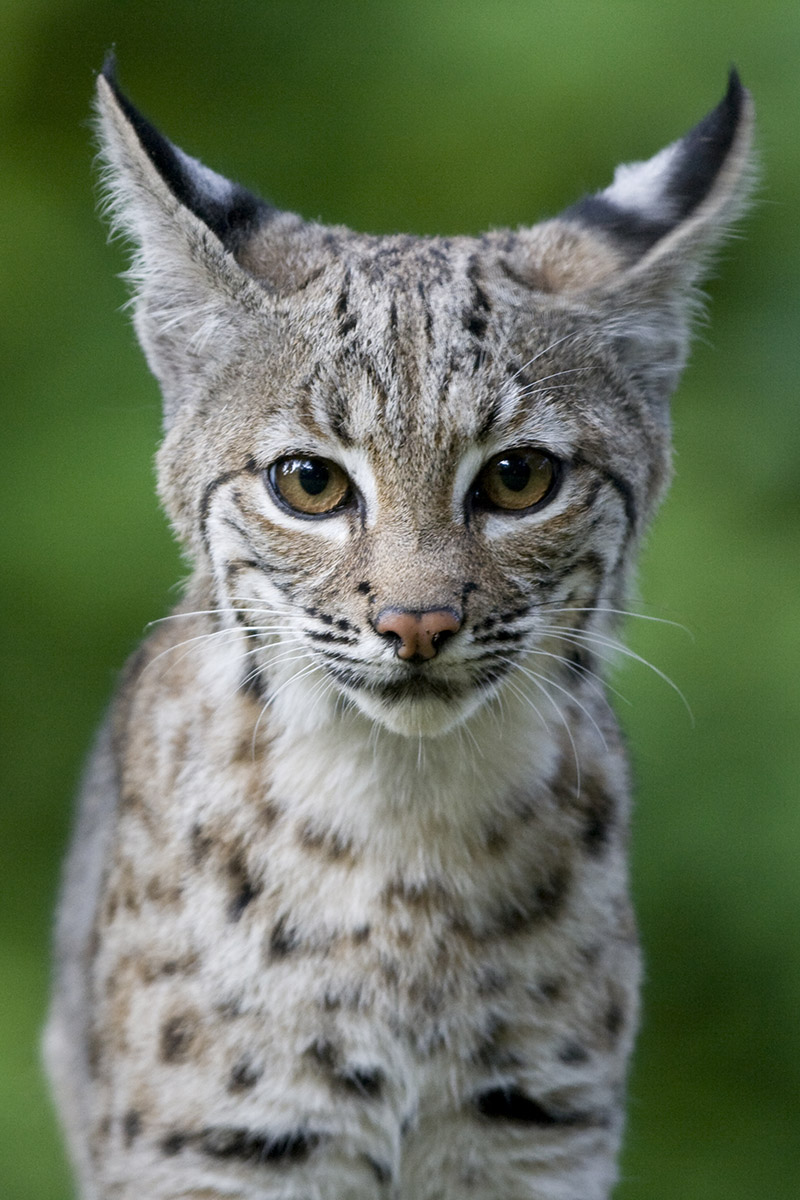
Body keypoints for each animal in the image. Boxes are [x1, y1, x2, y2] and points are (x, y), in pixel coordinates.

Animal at [47, 58, 753, 1200]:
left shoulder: (535, 1144)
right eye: (308, 483)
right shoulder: (220, 1153)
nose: (416, 624)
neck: (405, 817)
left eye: (518, 478)